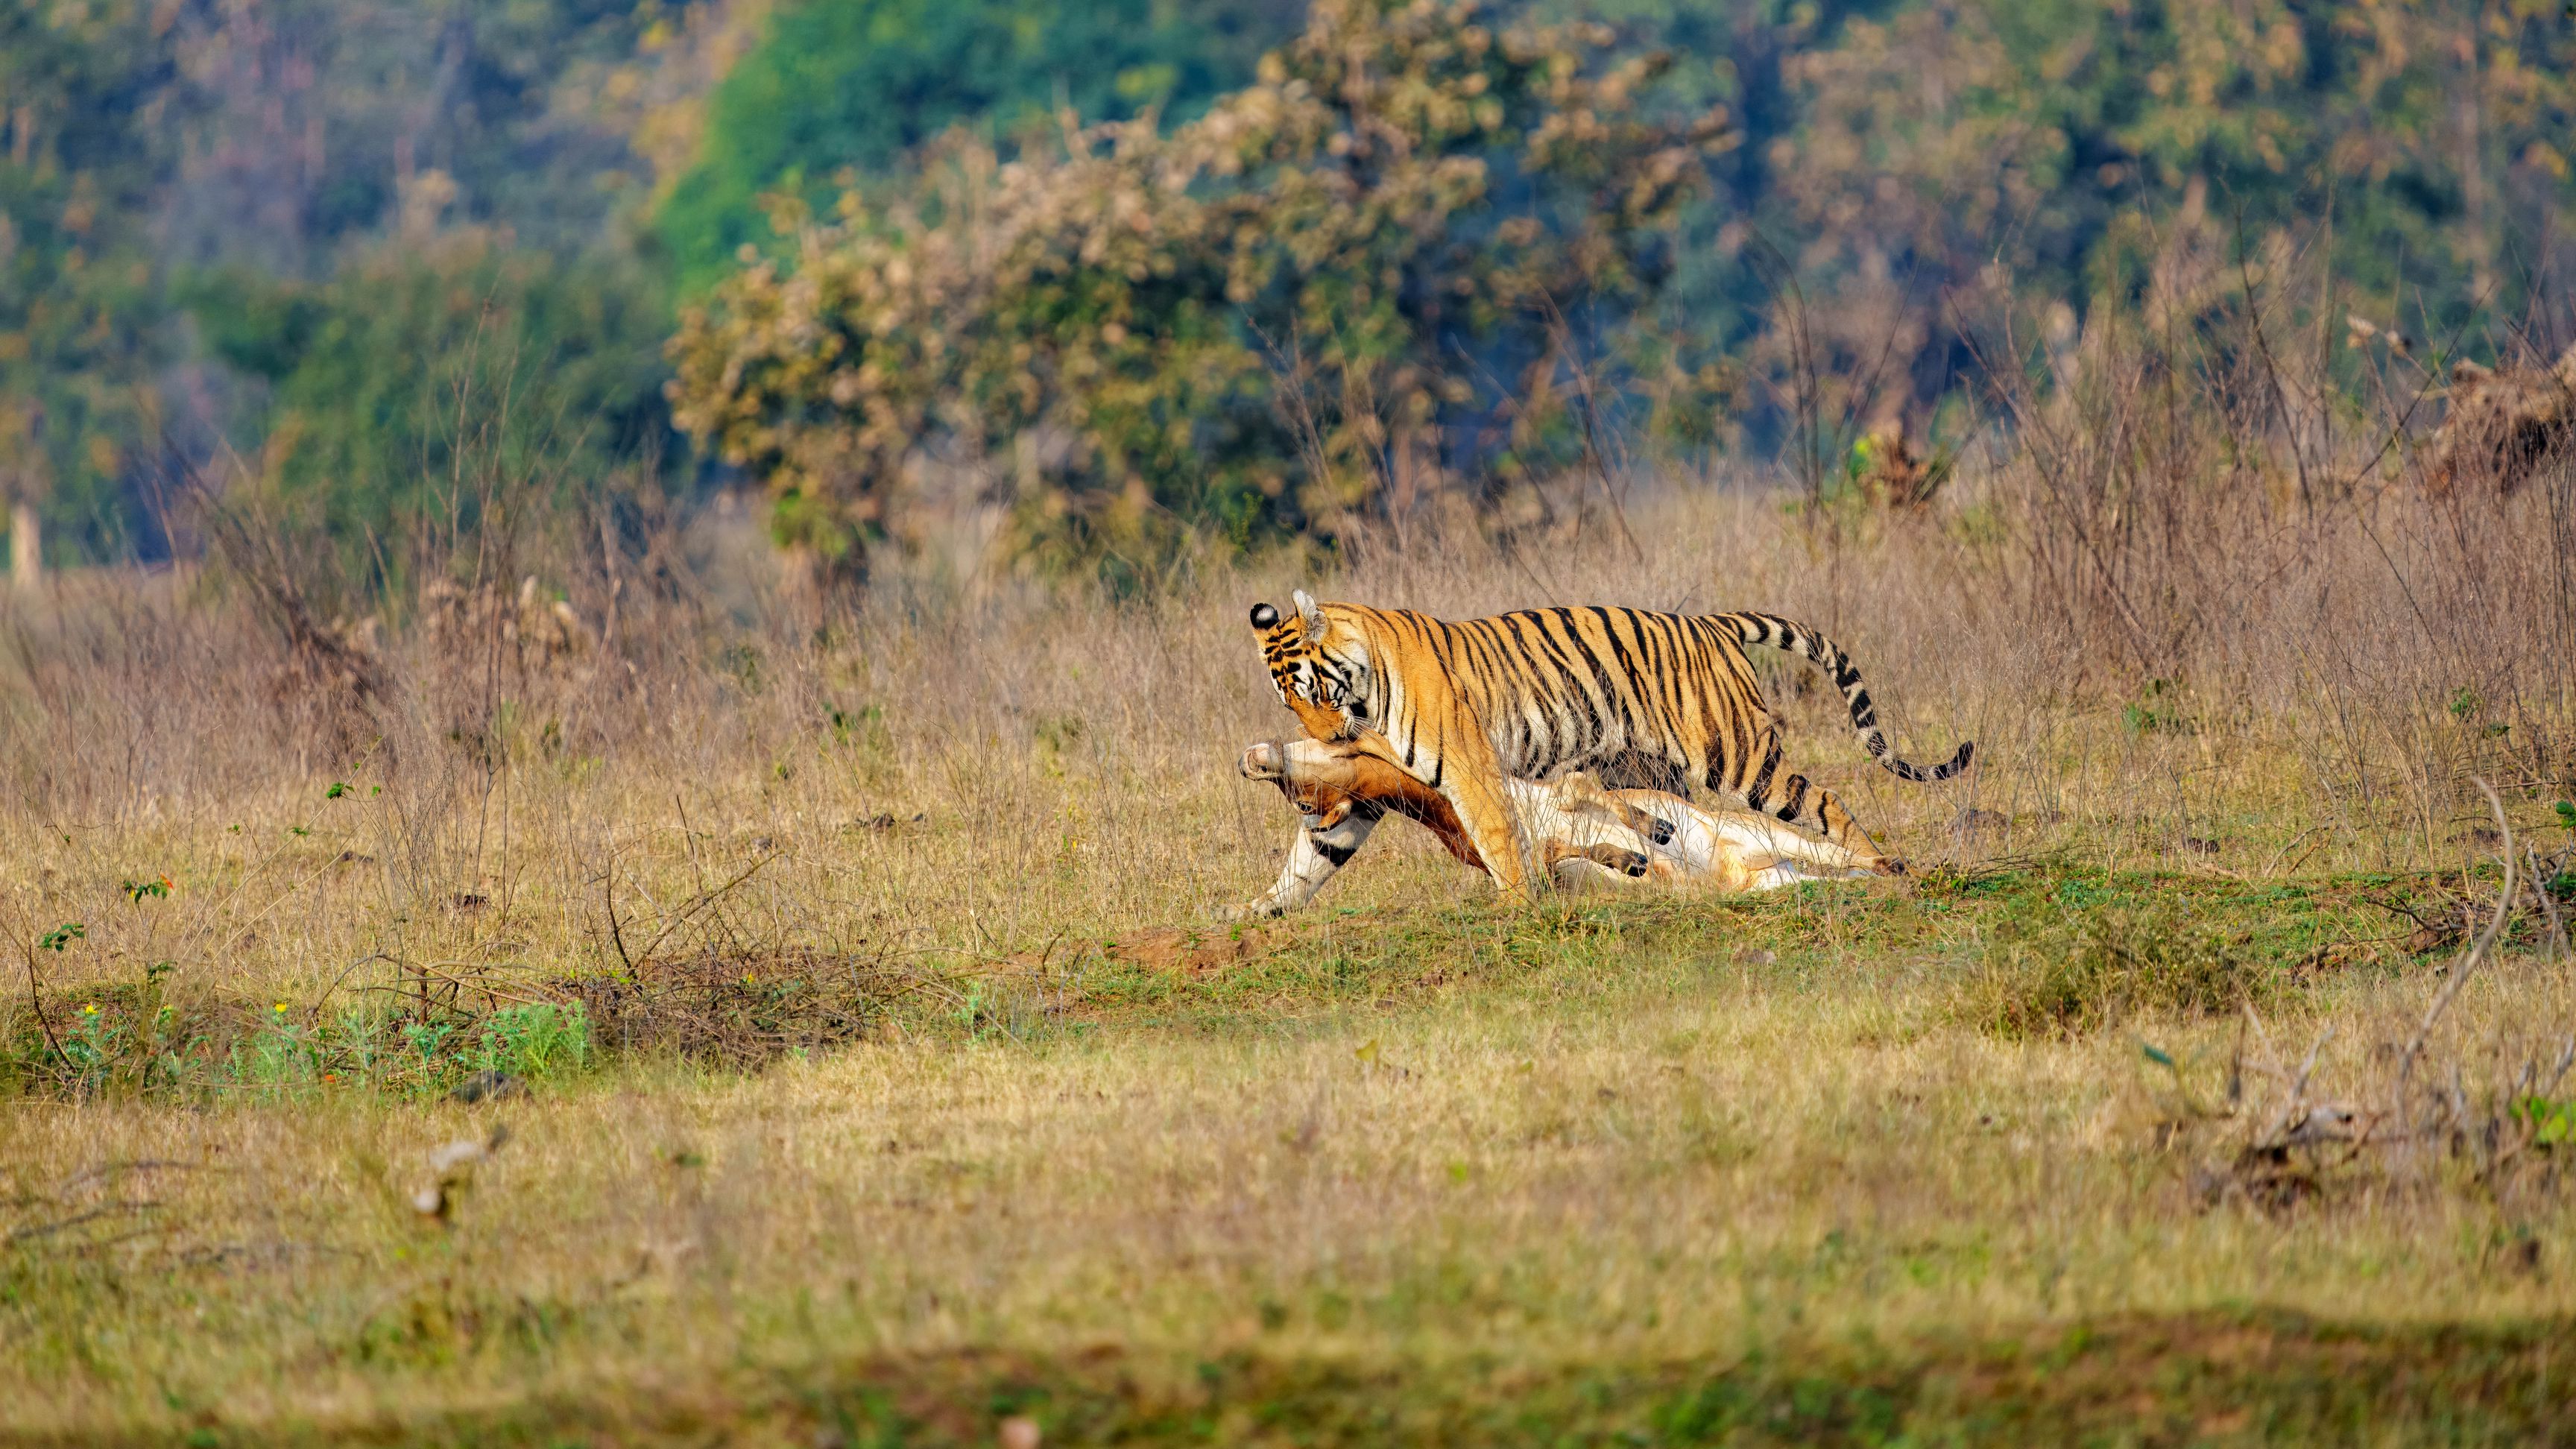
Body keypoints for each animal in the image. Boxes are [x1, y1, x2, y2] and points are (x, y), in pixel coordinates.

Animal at [1227, 735, 1880, 918]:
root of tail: (1742, 873)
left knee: (1857, 857)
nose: (1250, 759)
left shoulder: (1559, 798)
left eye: (1303, 787)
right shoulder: (1536, 866)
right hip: (1782, 877)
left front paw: (1655, 831)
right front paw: (1637, 857)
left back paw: (1895, 866)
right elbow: (1563, 852)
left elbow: (1589, 792)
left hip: (1782, 840)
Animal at [1245, 589, 1972, 903]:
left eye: (1315, 689)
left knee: (1826, 801)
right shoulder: (1377, 786)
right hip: (1659, 769)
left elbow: (1501, 843)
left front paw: (1522, 904)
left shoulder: (1469, 771)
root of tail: (1708, 621)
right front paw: (1256, 913)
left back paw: (1882, 866)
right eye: (1289, 701)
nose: (1325, 736)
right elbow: (1311, 860)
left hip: (1738, 754)